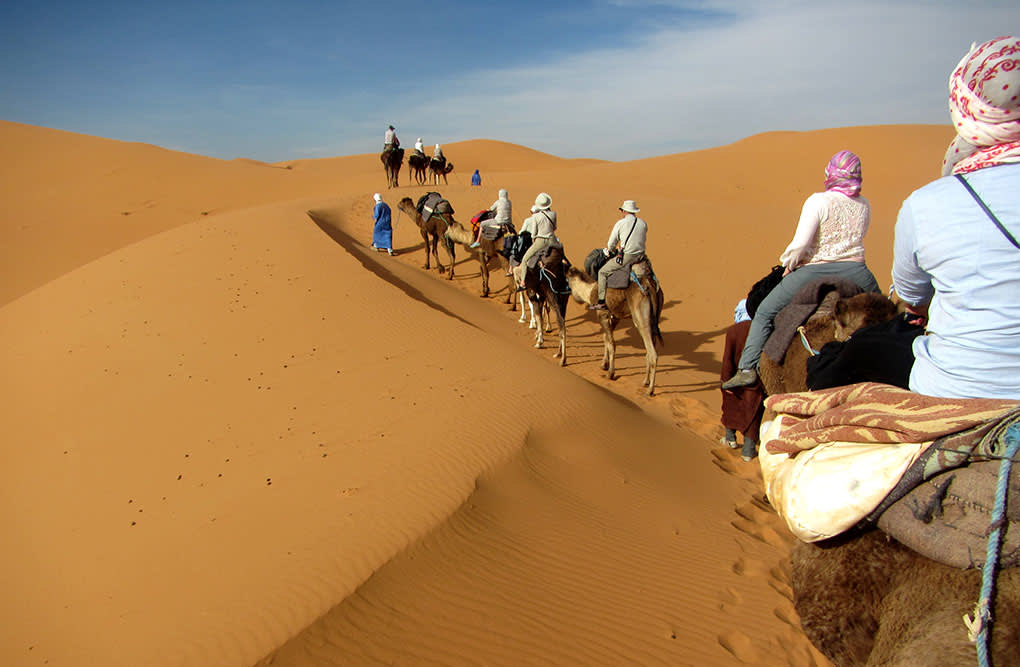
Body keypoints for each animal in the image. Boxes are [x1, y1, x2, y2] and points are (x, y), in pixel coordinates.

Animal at [563, 260, 665, 397]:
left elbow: (611, 343)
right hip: (654, 315)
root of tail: (651, 285)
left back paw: (650, 390)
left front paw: (610, 373)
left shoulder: (602, 314)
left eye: (567, 279)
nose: (565, 291)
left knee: (652, 351)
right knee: (650, 347)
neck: (590, 292)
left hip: (640, 315)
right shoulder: (616, 316)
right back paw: (645, 382)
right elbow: (605, 337)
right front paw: (604, 365)